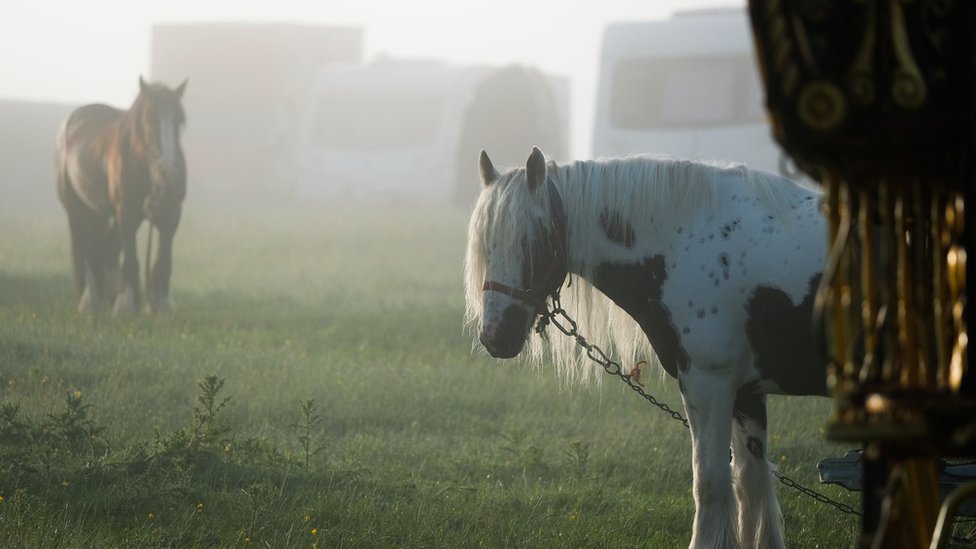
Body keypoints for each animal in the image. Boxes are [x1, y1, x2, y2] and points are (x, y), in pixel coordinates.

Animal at [56, 78, 188, 316]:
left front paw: (162, 307)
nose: (168, 171)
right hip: (77, 210)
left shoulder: (171, 214)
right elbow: (131, 258)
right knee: (85, 246)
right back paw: (90, 301)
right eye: (149, 120)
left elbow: (164, 259)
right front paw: (125, 305)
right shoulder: (125, 213)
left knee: (105, 248)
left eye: (178, 121)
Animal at [464, 148, 824, 544]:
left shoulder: (708, 382)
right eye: (486, 246)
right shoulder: (747, 392)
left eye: (531, 243)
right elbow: (751, 481)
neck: (692, 242)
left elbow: (710, 482)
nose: (495, 334)